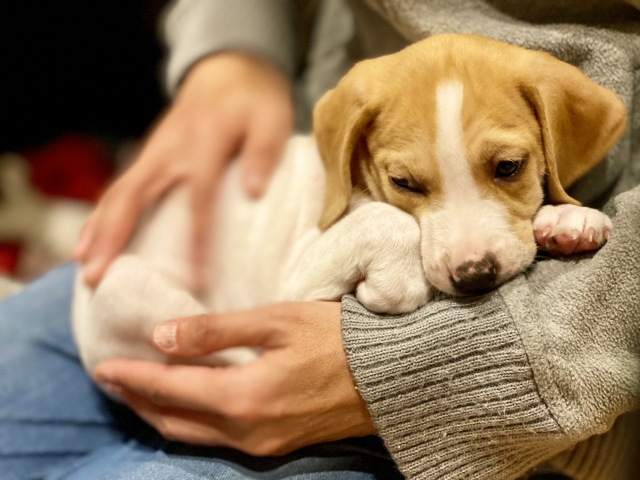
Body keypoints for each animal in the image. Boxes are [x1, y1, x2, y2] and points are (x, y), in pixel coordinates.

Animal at [74, 34, 624, 376]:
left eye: (508, 167)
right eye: (403, 182)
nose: (474, 276)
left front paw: (567, 217)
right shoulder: (296, 275)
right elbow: (388, 221)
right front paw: (392, 284)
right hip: (136, 290)